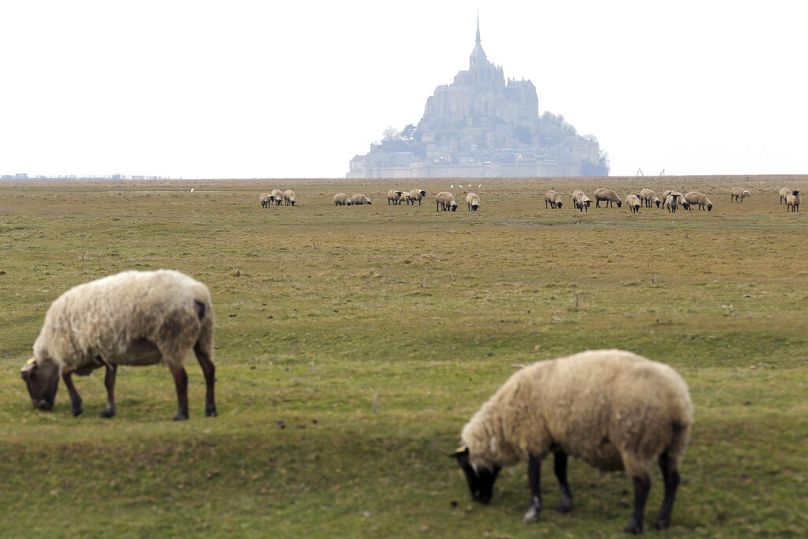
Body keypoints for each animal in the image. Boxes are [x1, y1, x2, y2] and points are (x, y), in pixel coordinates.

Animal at [21, 270, 218, 422]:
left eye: (29, 378)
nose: (41, 407)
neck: (52, 346)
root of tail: (197, 295)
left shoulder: (82, 352)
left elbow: (65, 374)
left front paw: (77, 407)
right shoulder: (107, 352)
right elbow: (109, 382)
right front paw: (109, 411)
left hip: (172, 340)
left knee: (181, 377)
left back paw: (181, 414)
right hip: (204, 338)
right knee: (209, 370)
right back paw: (210, 410)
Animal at [458, 350, 692, 536]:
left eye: (468, 469)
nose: (478, 499)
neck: (503, 423)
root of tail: (676, 402)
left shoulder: (534, 438)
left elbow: (534, 477)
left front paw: (533, 512)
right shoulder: (559, 441)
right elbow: (560, 472)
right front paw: (565, 504)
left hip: (635, 442)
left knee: (643, 483)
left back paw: (634, 526)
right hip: (674, 445)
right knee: (672, 480)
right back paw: (662, 521)